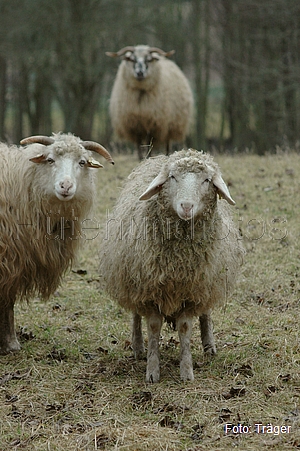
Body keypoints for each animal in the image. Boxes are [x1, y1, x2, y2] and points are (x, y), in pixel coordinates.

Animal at [0, 132, 114, 354]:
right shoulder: (9, 259)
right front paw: (10, 343)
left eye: (81, 162)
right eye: (50, 160)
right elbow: (7, 301)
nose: (66, 186)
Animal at [98, 150, 244, 384]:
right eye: (173, 177)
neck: (178, 260)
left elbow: (185, 328)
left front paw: (186, 370)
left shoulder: (191, 291)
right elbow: (153, 326)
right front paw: (152, 370)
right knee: (136, 315)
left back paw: (209, 344)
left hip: (208, 281)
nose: (186, 206)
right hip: (132, 279)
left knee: (205, 313)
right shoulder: (150, 291)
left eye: (206, 180)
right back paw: (137, 346)